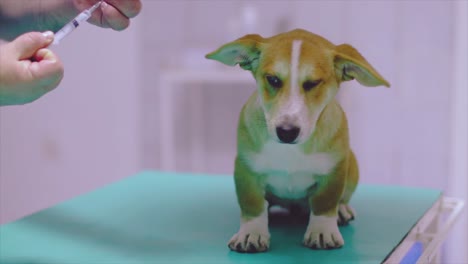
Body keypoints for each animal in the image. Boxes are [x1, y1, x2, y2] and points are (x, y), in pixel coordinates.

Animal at [205, 28, 388, 254]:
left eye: (312, 83)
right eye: (273, 80)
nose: (286, 132)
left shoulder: (334, 170)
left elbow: (325, 202)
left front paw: (322, 230)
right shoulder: (246, 169)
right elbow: (252, 204)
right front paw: (251, 233)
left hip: (352, 164)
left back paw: (342, 210)